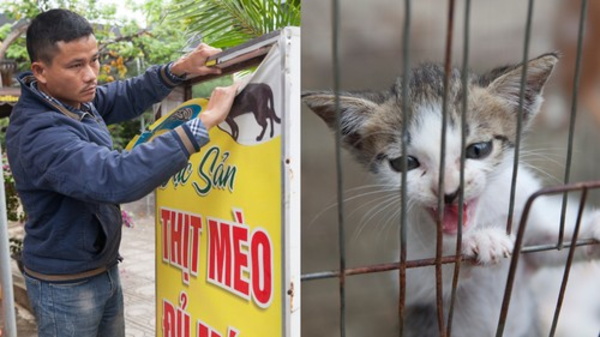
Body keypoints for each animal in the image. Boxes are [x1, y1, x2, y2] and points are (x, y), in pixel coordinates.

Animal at [302, 53, 600, 334]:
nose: (448, 192)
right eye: (405, 163)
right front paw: (484, 240)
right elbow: (433, 274)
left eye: (477, 150)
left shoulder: (531, 243)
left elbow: (556, 245)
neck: (483, 216)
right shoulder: (411, 278)